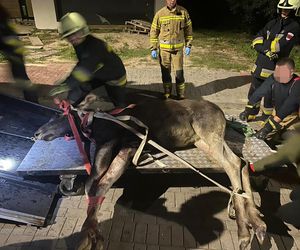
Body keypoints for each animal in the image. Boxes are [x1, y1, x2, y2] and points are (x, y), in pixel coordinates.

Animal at [34, 94, 266, 250]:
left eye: (58, 114)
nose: (36, 132)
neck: (92, 126)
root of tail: (222, 114)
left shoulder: (113, 141)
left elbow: (94, 182)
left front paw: (90, 235)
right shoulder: (127, 146)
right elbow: (101, 183)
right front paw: (90, 236)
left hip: (207, 132)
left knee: (233, 164)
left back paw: (244, 232)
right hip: (202, 141)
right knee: (241, 162)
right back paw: (257, 222)